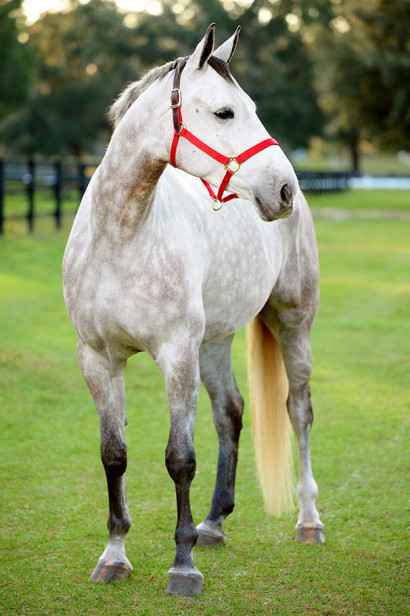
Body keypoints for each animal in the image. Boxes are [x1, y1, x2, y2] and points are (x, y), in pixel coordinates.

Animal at [62, 25, 324, 596]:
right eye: (225, 112)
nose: (283, 189)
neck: (123, 236)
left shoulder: (175, 355)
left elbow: (179, 459)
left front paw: (182, 567)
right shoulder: (98, 359)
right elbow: (114, 455)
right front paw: (114, 556)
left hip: (292, 323)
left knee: (299, 411)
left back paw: (309, 521)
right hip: (215, 342)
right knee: (231, 413)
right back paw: (213, 522)